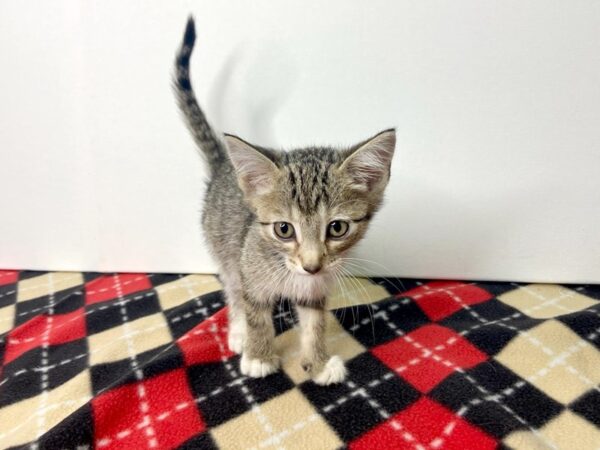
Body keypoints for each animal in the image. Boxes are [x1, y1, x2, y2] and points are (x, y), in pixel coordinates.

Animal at [173, 16, 396, 384]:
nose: (311, 265)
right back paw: (239, 332)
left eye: (337, 228)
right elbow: (255, 312)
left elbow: (314, 324)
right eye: (284, 229)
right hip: (224, 248)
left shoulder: (315, 290)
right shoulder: (250, 270)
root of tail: (223, 166)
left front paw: (317, 363)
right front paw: (259, 355)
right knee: (232, 288)